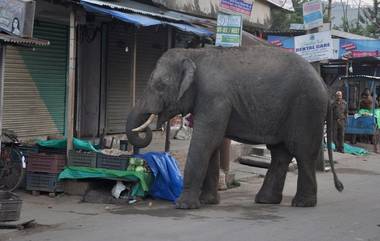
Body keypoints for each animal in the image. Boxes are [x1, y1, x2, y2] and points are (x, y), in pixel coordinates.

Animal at [126, 45, 342, 209]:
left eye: (160, 86)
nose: (147, 129)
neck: (194, 54)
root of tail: (324, 85)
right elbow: (212, 143)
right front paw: (208, 202)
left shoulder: (215, 97)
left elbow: (207, 140)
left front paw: (184, 206)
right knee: (280, 154)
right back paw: (265, 201)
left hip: (306, 108)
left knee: (302, 151)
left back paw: (302, 204)